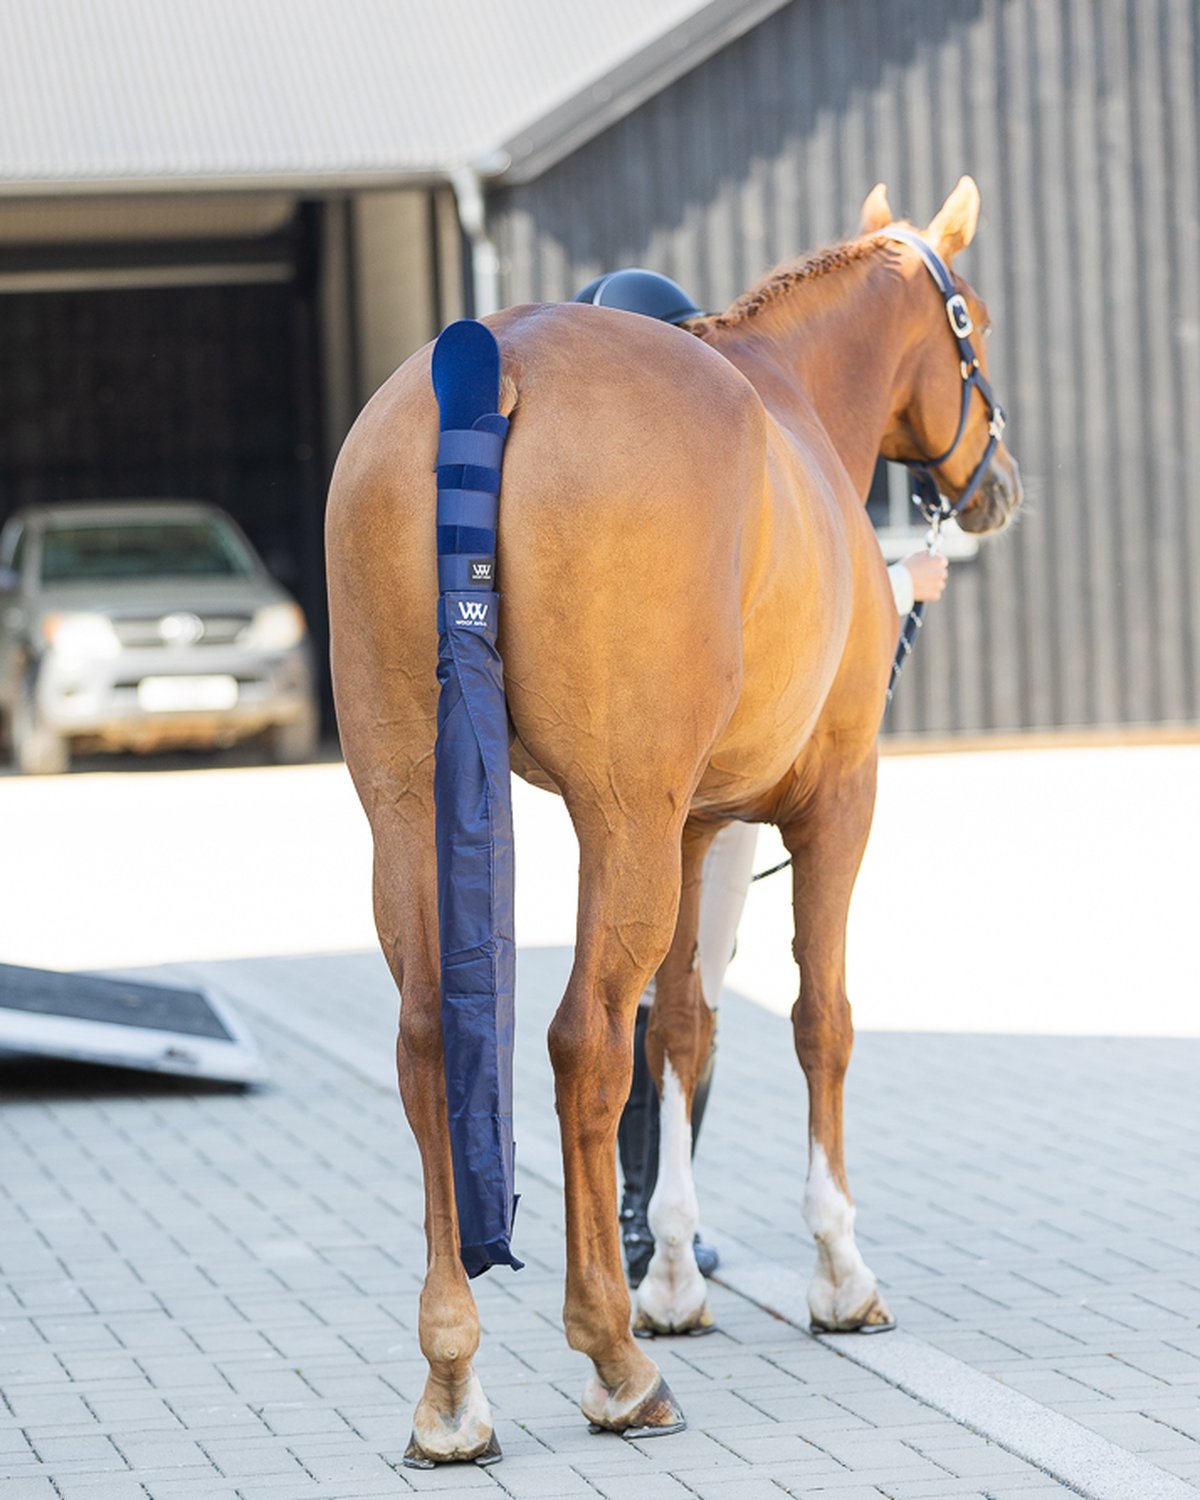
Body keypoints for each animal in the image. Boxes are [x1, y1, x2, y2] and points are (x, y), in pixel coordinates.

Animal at [326, 176, 1022, 1465]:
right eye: (978, 325)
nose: (995, 486)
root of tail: (489, 361)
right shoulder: (834, 798)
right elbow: (816, 1020)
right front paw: (837, 1272)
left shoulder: (699, 824)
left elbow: (687, 1030)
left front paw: (678, 1280)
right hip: (622, 820)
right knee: (583, 1046)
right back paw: (612, 1360)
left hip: (409, 806)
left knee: (435, 1039)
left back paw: (454, 1385)